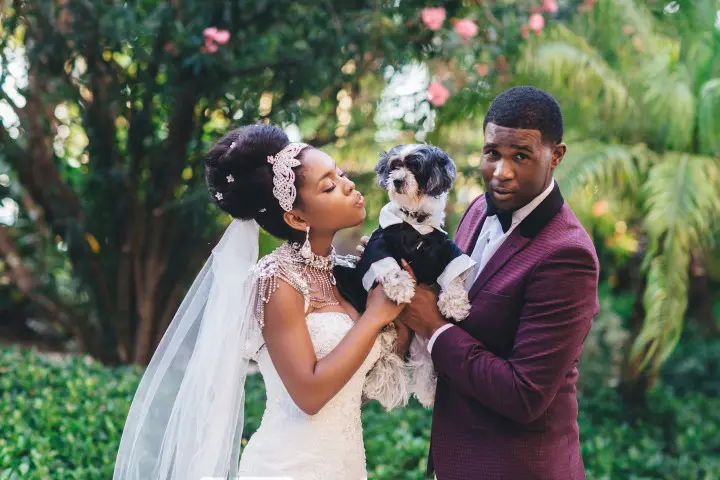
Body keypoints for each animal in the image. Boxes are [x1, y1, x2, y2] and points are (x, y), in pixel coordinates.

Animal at [334, 142, 476, 404]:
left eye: (416, 166)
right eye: (394, 166)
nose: (398, 180)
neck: (415, 222)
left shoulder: (445, 248)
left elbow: (453, 275)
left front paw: (455, 305)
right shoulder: (378, 243)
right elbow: (388, 265)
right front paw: (400, 287)